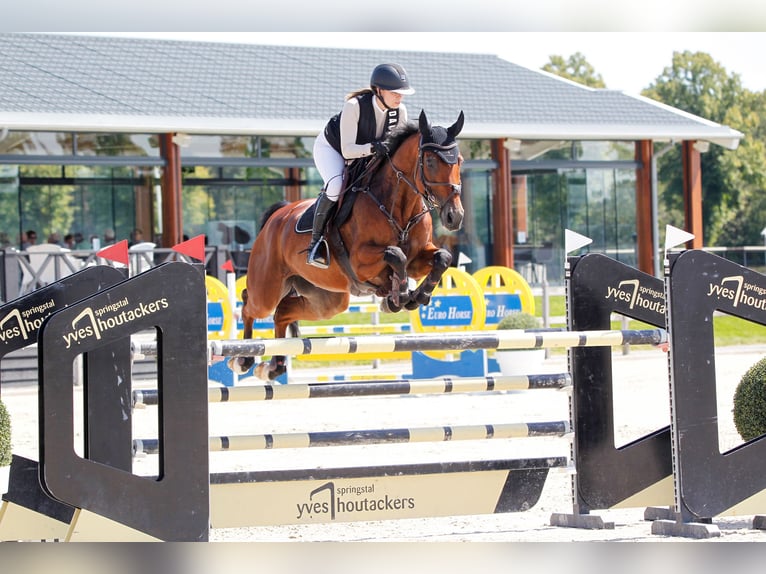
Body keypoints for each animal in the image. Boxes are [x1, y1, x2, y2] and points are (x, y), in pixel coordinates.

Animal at [231, 112, 464, 382]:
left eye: (459, 160)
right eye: (430, 161)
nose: (454, 216)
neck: (399, 206)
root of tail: (276, 217)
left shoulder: (418, 259)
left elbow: (442, 258)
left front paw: (417, 297)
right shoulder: (360, 262)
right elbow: (396, 255)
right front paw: (400, 296)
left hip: (327, 300)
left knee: (283, 312)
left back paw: (273, 366)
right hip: (267, 289)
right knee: (249, 303)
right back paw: (242, 359)